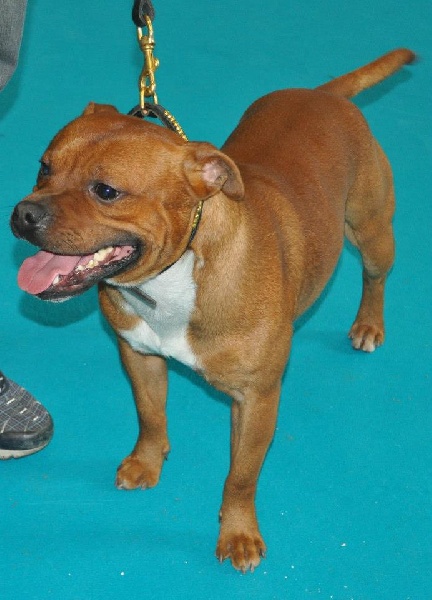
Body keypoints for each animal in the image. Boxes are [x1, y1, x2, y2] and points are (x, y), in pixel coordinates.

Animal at [11, 48, 414, 572]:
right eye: (43, 167)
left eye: (106, 191)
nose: (24, 214)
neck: (174, 274)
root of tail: (325, 94)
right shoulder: (139, 355)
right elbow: (150, 416)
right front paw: (146, 462)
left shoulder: (256, 400)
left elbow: (240, 477)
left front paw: (238, 534)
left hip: (370, 228)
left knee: (375, 275)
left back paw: (368, 323)